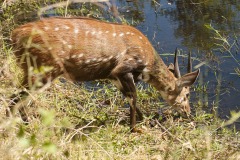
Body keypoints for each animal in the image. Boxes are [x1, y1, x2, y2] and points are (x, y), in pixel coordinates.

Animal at [8, 17, 199, 131]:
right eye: (187, 94)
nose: (188, 113)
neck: (147, 64)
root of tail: (15, 35)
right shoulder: (123, 68)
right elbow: (134, 97)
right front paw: (134, 129)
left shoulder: (113, 77)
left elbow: (131, 99)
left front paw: (146, 120)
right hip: (42, 70)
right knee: (14, 99)